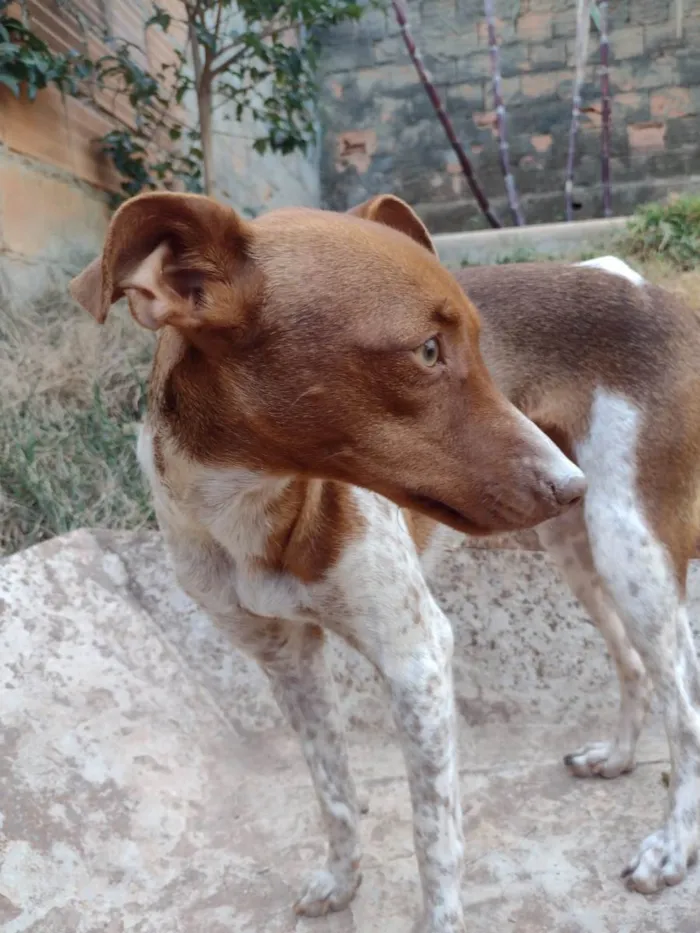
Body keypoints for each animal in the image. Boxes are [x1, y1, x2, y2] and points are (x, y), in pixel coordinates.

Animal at [69, 191, 700, 932]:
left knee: (685, 707)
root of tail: (661, 293)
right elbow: (333, 791)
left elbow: (435, 836)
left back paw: (671, 846)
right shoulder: (286, 658)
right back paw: (618, 756)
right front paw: (342, 880)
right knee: (633, 664)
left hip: (631, 546)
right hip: (579, 546)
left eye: (481, 345)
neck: (255, 511)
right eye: (427, 351)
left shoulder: (417, 656)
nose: (570, 484)